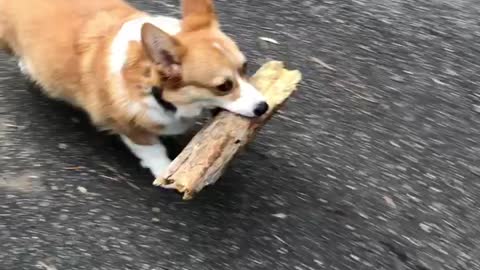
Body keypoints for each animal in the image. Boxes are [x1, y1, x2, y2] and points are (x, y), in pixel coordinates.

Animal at [0, 0, 268, 181]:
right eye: (223, 86)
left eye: (245, 67)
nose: (264, 107)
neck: (151, 86)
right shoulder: (128, 125)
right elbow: (153, 150)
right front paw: (165, 171)